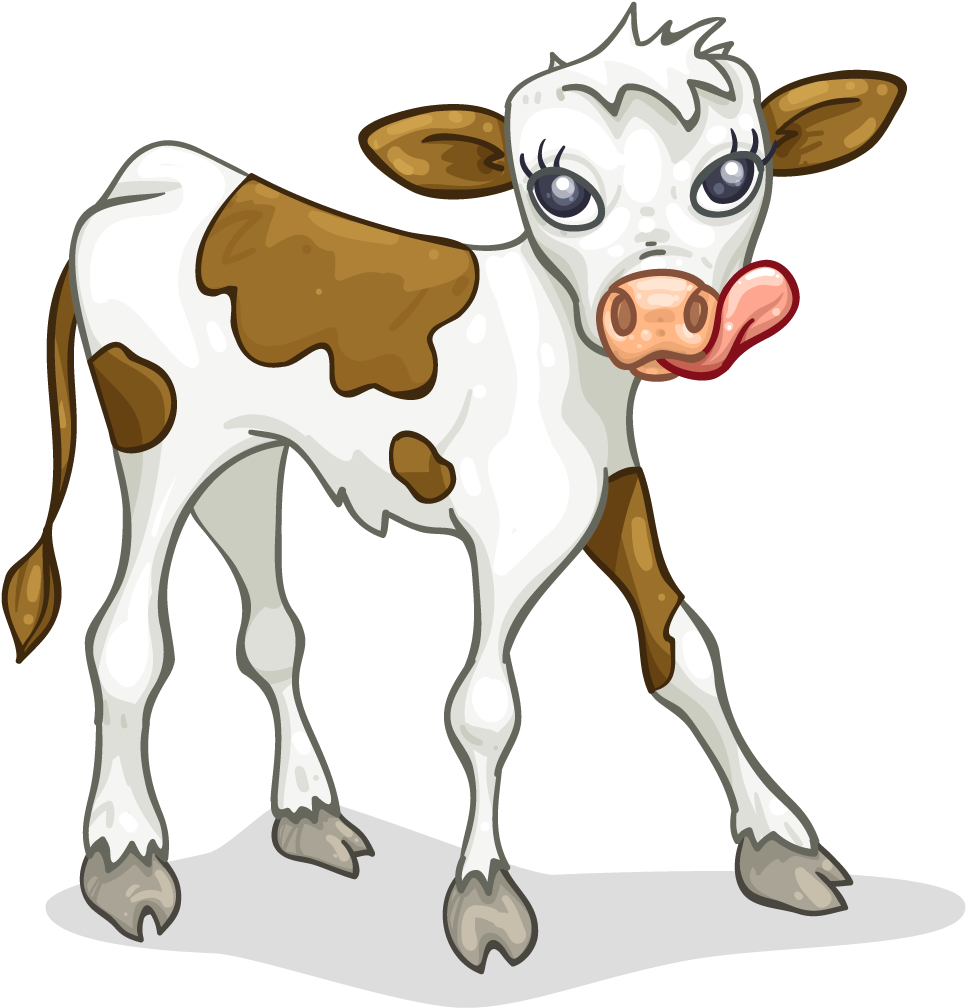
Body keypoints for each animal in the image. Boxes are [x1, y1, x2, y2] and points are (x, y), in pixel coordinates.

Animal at [4, 8, 904, 973]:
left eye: (731, 177)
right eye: (559, 190)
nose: (659, 311)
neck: (565, 360)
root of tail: (153, 172)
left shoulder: (611, 494)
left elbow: (685, 652)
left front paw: (780, 846)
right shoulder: (509, 531)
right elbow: (485, 709)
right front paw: (484, 899)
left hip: (247, 458)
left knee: (271, 631)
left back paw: (309, 816)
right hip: (157, 444)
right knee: (125, 641)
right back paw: (126, 858)